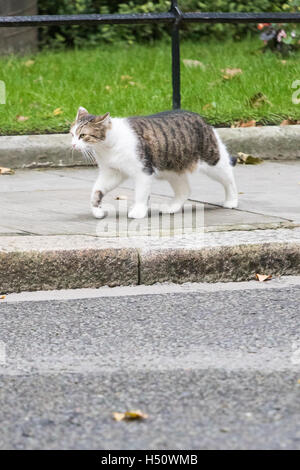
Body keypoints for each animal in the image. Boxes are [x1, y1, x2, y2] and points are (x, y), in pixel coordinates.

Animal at [70, 107, 237, 219]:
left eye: (83, 135)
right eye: (72, 134)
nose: (72, 145)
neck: (107, 147)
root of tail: (202, 119)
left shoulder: (143, 171)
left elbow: (141, 194)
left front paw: (138, 211)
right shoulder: (113, 173)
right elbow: (97, 190)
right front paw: (97, 210)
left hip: (213, 161)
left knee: (229, 179)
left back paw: (231, 201)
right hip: (173, 169)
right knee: (184, 191)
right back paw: (172, 208)